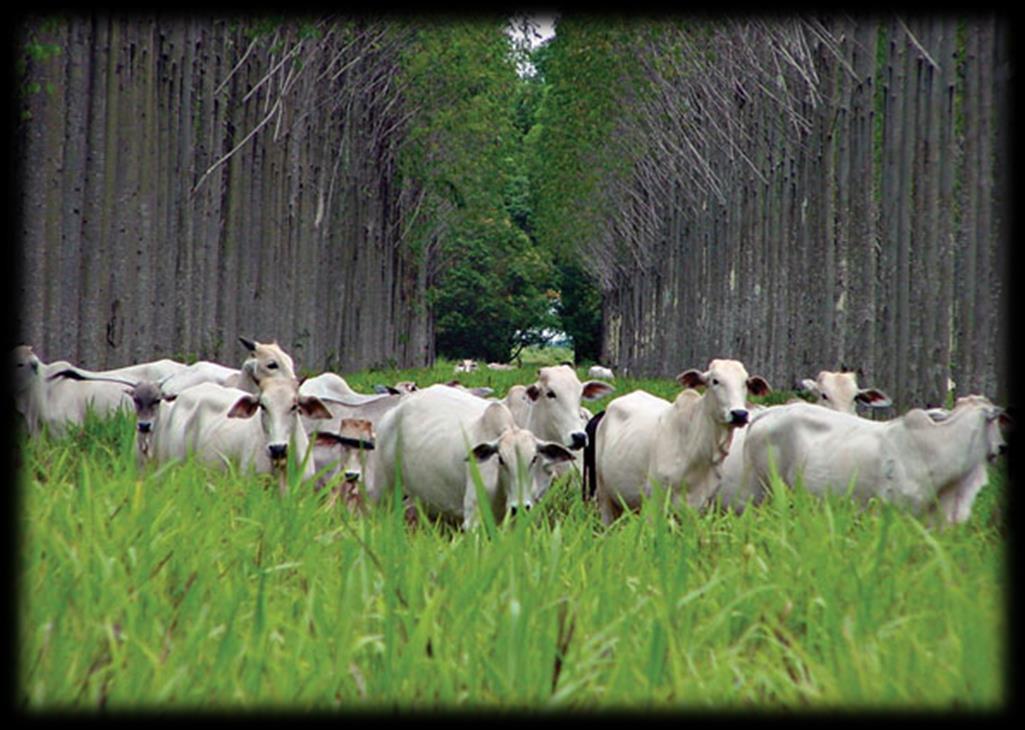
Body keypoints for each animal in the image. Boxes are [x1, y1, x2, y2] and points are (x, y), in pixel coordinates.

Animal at [366, 385, 578, 529]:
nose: (519, 507)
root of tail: (395, 410)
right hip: (383, 492)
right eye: (501, 459)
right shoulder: (472, 521)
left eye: (534, 458)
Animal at [590, 356, 770, 520]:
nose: (739, 414)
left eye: (745, 383)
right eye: (715, 381)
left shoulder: (699, 507)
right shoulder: (653, 503)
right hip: (604, 494)